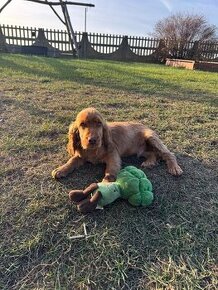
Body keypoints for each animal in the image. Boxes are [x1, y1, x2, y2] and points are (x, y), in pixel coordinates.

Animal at [51, 107, 182, 181]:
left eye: (99, 123)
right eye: (82, 124)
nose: (92, 140)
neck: (93, 151)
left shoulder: (113, 155)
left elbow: (111, 168)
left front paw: (106, 182)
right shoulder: (81, 155)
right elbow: (72, 160)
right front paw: (60, 169)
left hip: (151, 138)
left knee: (169, 154)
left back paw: (175, 168)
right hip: (141, 150)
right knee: (152, 154)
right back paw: (149, 162)